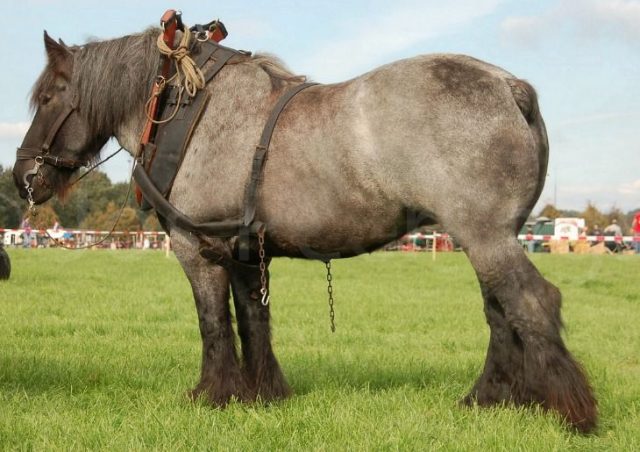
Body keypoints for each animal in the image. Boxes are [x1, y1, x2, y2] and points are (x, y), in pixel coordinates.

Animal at [10, 25, 596, 434]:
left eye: (49, 98)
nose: (22, 177)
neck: (188, 112)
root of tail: (510, 86)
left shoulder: (196, 249)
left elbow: (213, 324)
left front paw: (213, 394)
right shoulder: (246, 252)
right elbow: (253, 321)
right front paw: (262, 393)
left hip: (485, 235)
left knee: (532, 303)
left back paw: (572, 411)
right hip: (482, 238)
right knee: (501, 312)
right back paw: (489, 400)